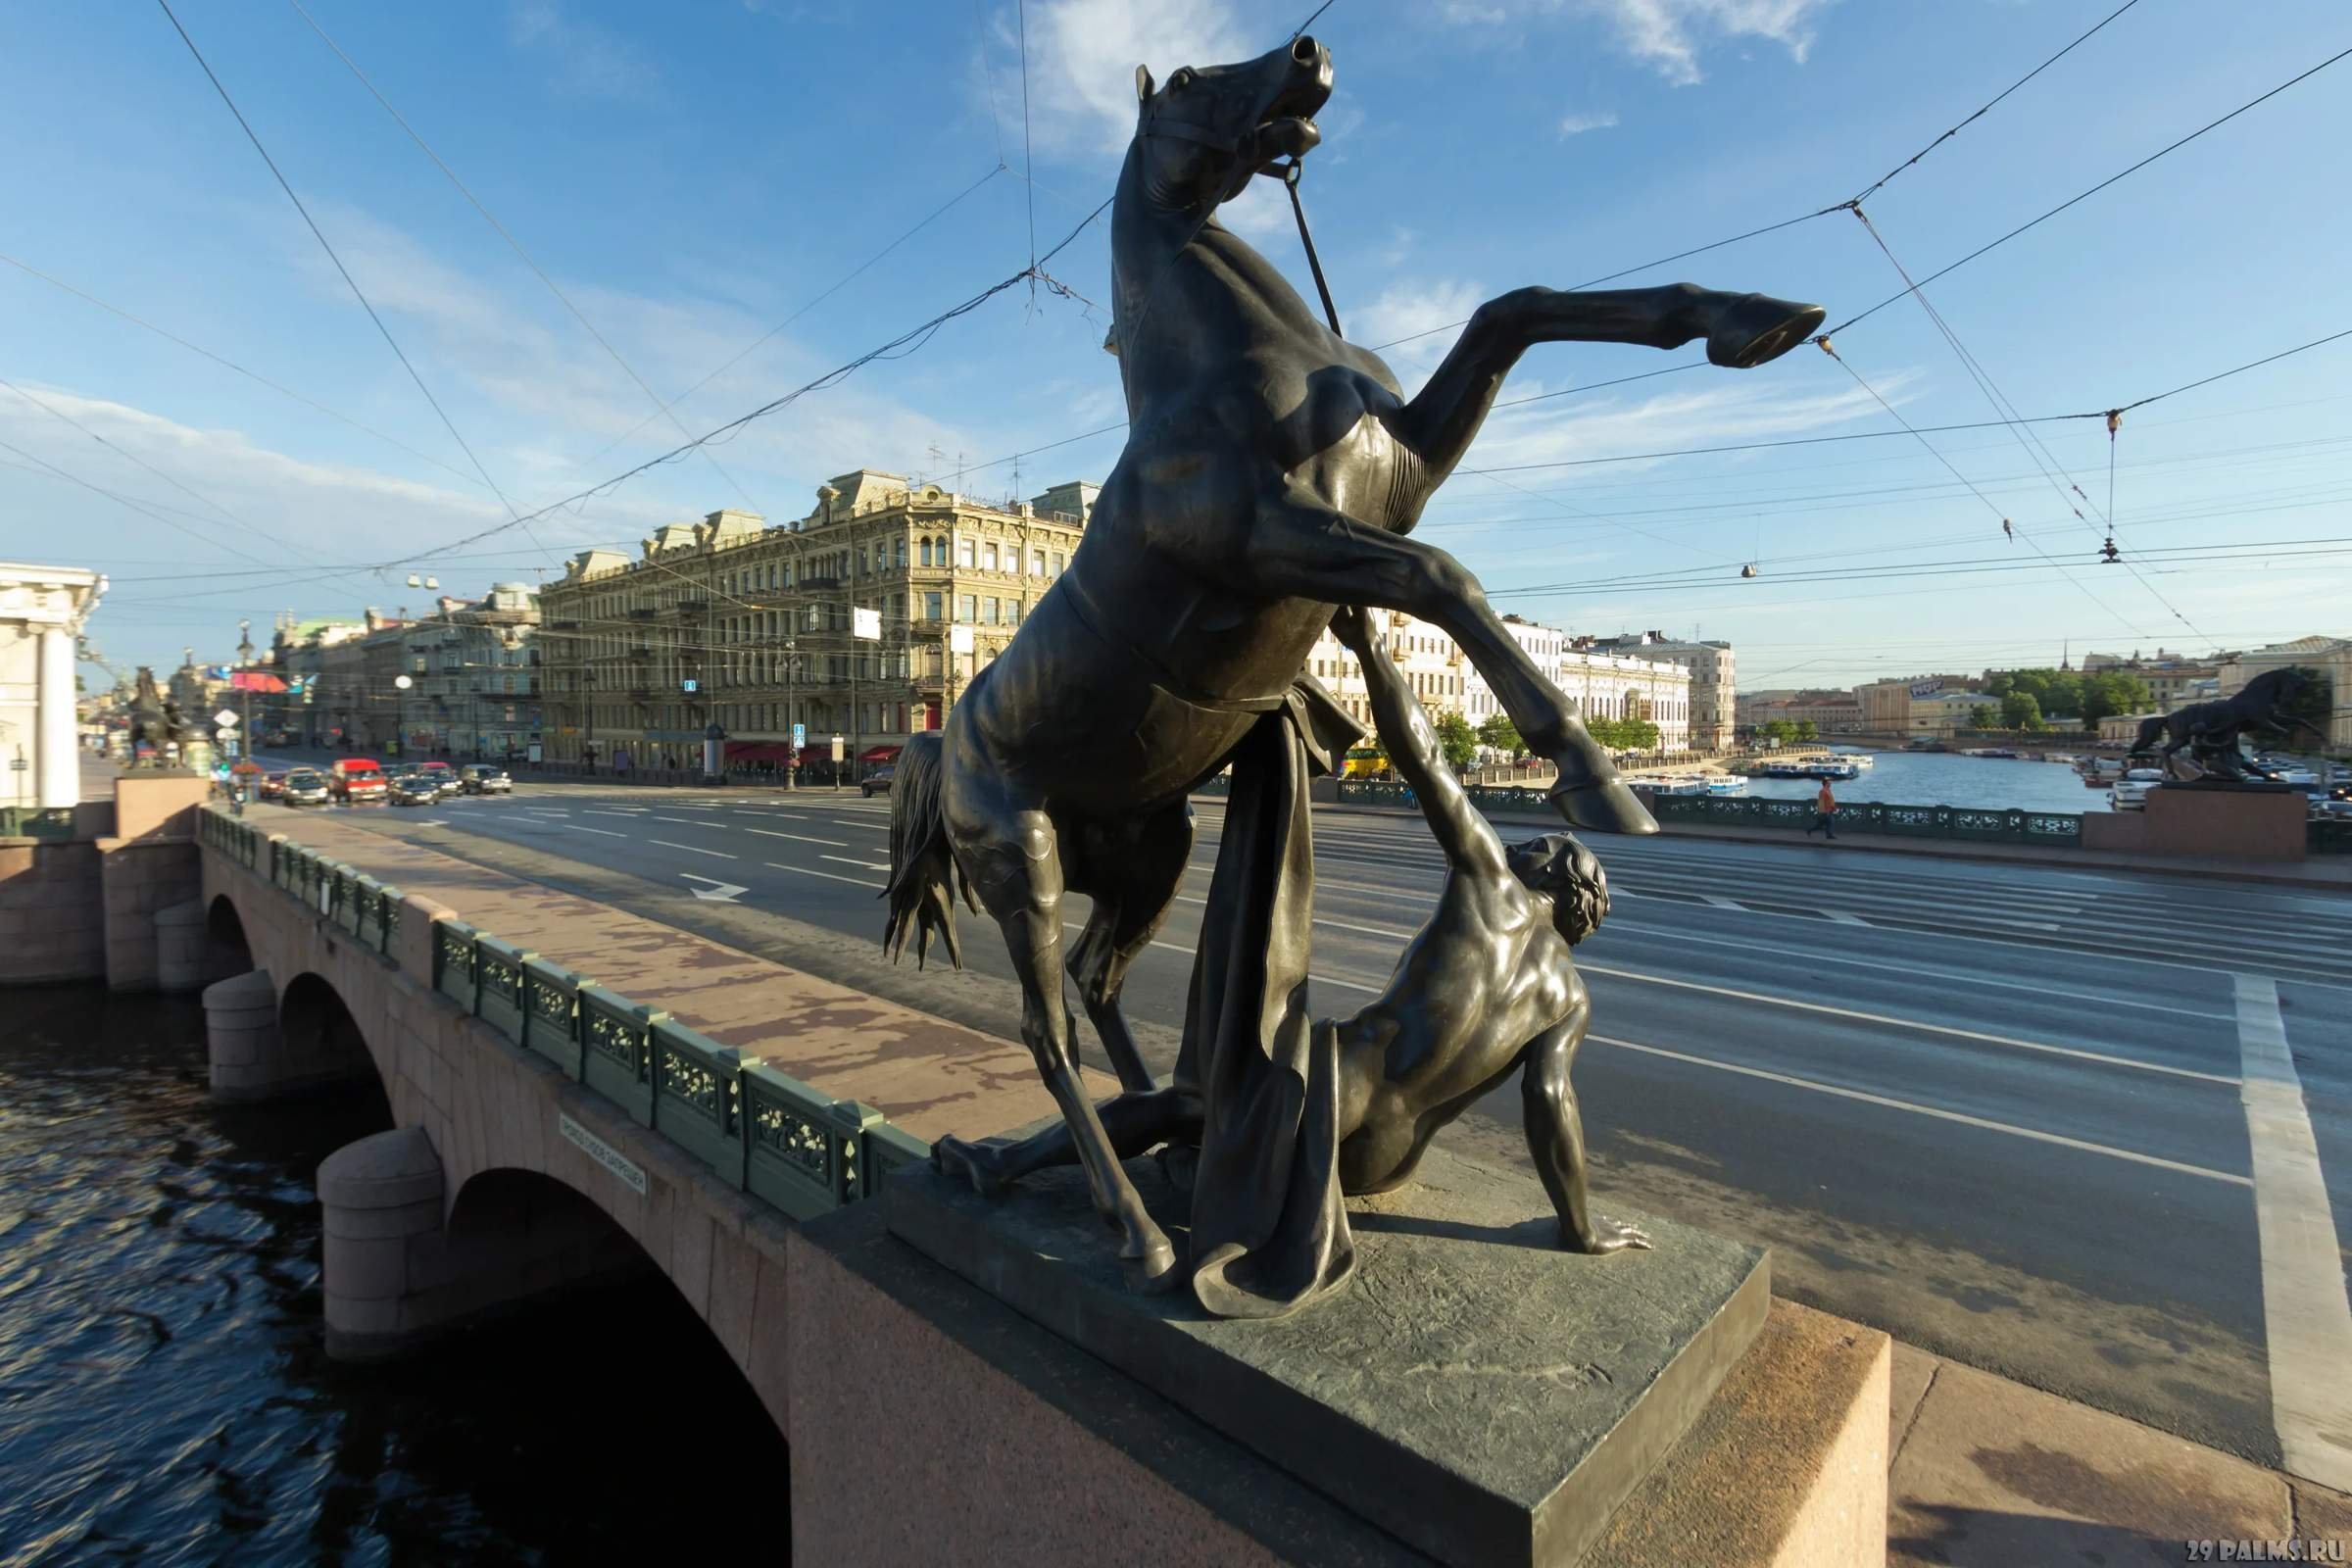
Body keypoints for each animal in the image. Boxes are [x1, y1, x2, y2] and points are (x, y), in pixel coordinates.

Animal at [889, 33, 1825, 1288]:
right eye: (1191, 81)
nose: (1307, 52)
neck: (1226, 372)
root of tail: (940, 742)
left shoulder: (1402, 463)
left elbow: (1513, 308)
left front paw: (1756, 318)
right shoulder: (1274, 538)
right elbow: (1443, 573)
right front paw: (1590, 770)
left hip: (1150, 846)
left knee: (1098, 982)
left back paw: (1172, 1147)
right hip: (1018, 853)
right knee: (1044, 1024)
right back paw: (1139, 1226)